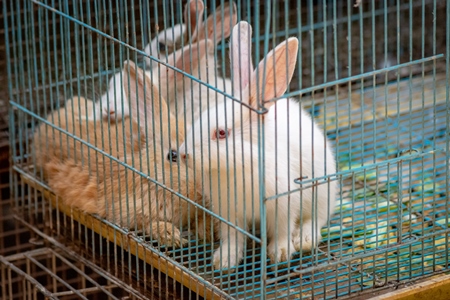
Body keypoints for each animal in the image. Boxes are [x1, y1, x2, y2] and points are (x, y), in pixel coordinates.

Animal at [178, 21, 336, 270]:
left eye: (221, 133)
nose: (184, 154)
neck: (240, 164)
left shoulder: (283, 203)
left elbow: (282, 230)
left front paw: (280, 253)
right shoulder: (228, 211)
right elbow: (232, 236)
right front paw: (225, 260)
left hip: (321, 190)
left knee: (316, 219)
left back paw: (304, 240)